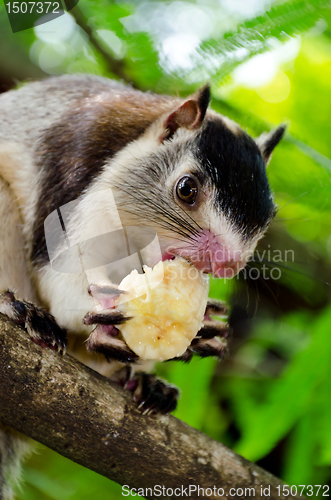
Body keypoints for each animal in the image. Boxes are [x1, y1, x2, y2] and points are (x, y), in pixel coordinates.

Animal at [0, 73, 286, 496]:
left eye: (269, 216)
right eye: (186, 188)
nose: (227, 263)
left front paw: (200, 328)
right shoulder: (75, 181)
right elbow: (63, 276)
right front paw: (105, 316)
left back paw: (143, 383)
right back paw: (21, 311)